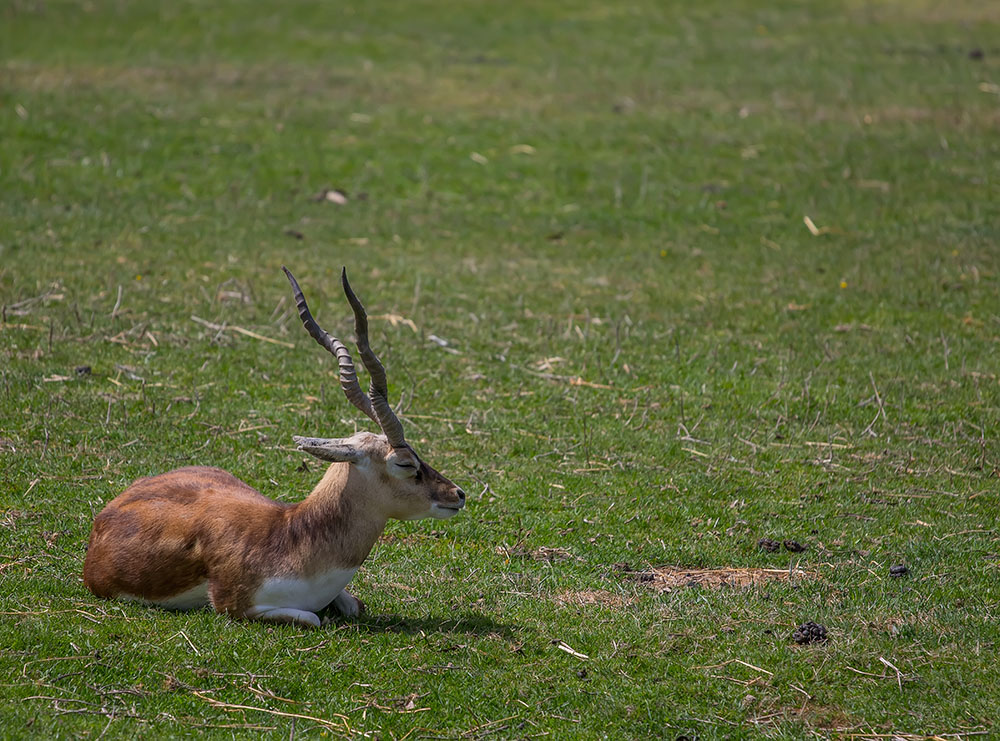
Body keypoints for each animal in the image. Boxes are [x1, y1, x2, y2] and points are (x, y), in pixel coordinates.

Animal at [83, 266, 468, 624]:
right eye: (404, 463)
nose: (457, 494)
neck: (293, 537)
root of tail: (105, 515)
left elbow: (354, 605)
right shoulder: (235, 606)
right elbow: (313, 617)